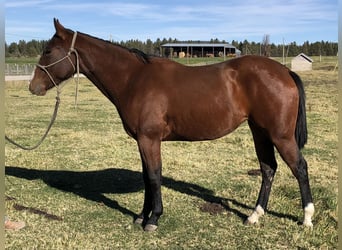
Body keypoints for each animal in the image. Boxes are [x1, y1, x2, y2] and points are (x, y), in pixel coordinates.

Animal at [30, 18, 316, 231]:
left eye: (48, 51)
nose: (33, 87)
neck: (134, 79)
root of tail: (284, 71)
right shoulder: (142, 140)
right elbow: (146, 176)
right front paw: (141, 216)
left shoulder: (149, 138)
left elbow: (154, 176)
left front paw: (153, 219)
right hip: (260, 132)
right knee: (268, 169)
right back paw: (254, 215)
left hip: (280, 135)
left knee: (299, 167)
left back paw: (306, 217)